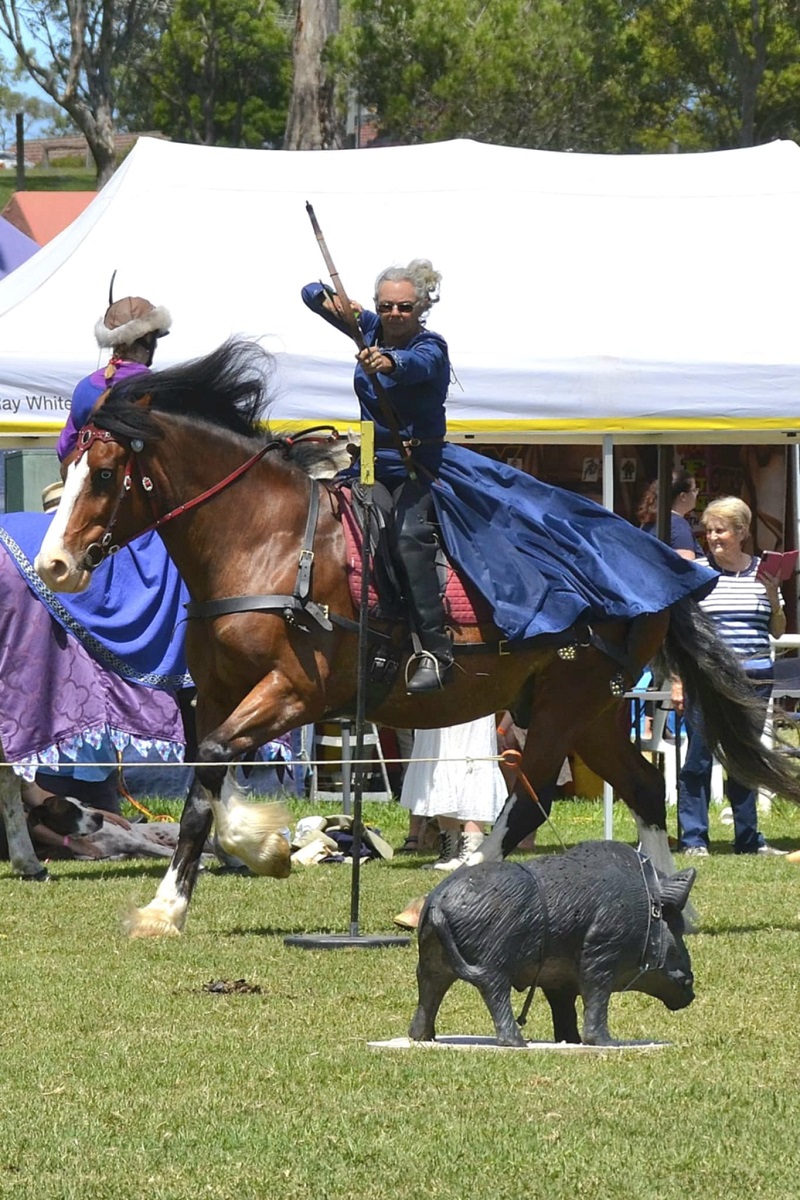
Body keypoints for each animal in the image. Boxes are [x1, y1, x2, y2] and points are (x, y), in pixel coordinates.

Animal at [34, 339, 800, 937]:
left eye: (105, 474)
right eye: (66, 468)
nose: (54, 566)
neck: (263, 543)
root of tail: (660, 562)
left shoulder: (295, 692)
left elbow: (219, 772)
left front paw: (263, 849)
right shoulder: (219, 696)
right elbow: (201, 795)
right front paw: (171, 906)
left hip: (566, 702)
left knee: (532, 800)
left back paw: (439, 898)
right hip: (597, 710)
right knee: (642, 786)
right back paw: (670, 908)